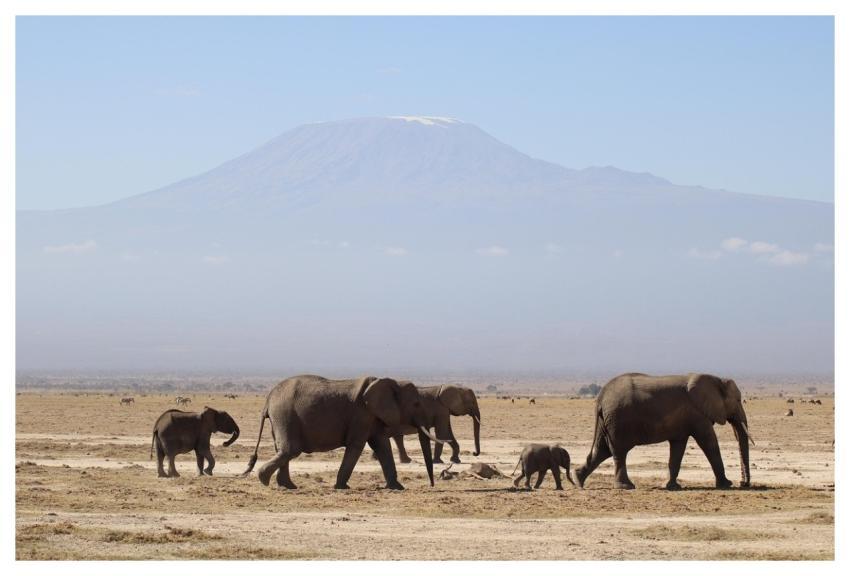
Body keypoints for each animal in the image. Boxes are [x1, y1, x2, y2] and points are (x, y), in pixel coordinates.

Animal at [241, 375, 450, 490]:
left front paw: (398, 488)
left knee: (283, 450)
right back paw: (264, 480)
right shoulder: (362, 414)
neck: (391, 382)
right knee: (290, 450)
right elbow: (356, 445)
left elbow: (382, 445)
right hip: (285, 415)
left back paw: (288, 487)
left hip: (281, 418)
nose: (432, 485)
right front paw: (341, 487)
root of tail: (268, 399)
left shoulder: (372, 416)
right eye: (416, 404)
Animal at [575, 373, 753, 490]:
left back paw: (578, 480)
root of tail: (600, 398)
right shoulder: (697, 415)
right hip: (617, 420)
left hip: (608, 421)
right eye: (738, 400)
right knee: (618, 452)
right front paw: (727, 485)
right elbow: (709, 442)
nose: (743, 483)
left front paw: (671, 486)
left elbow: (678, 448)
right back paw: (626, 487)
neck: (717, 380)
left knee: (602, 450)